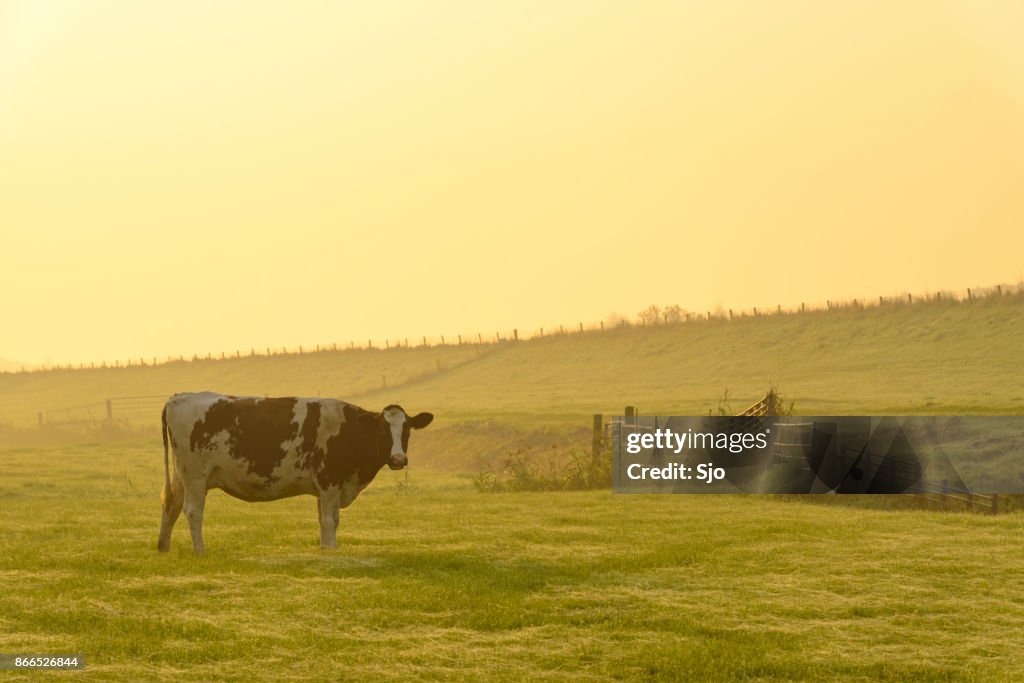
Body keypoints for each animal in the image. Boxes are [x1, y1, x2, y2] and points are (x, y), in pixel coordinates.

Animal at [155, 389, 432, 557]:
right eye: (383, 431)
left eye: (407, 431)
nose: (398, 459)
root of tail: (178, 397)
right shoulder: (330, 481)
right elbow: (331, 520)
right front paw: (332, 550)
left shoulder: (324, 488)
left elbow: (322, 520)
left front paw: (325, 550)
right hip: (195, 475)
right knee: (193, 511)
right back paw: (200, 551)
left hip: (182, 476)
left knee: (171, 505)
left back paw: (163, 548)